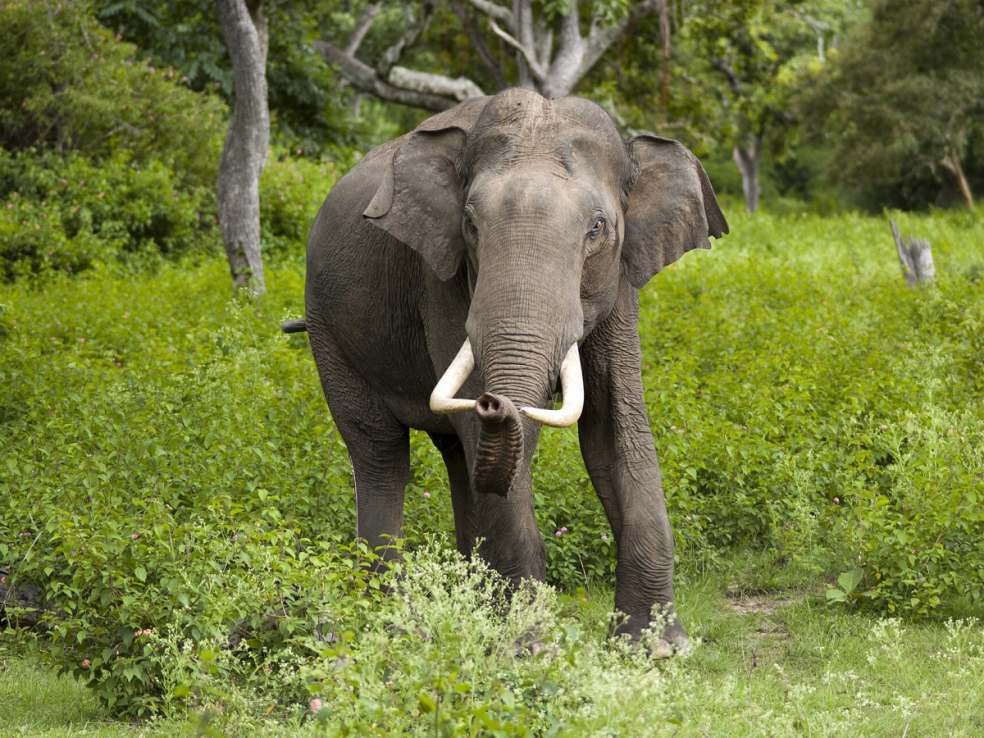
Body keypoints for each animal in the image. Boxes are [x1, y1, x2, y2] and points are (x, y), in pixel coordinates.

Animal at [285, 88, 727, 649]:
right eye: (471, 224)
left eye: (598, 228)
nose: (495, 401)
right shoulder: (442, 277)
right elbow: (495, 437)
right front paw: (529, 646)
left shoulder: (621, 278)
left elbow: (613, 429)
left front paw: (658, 648)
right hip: (327, 327)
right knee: (381, 452)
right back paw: (389, 617)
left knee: (456, 456)